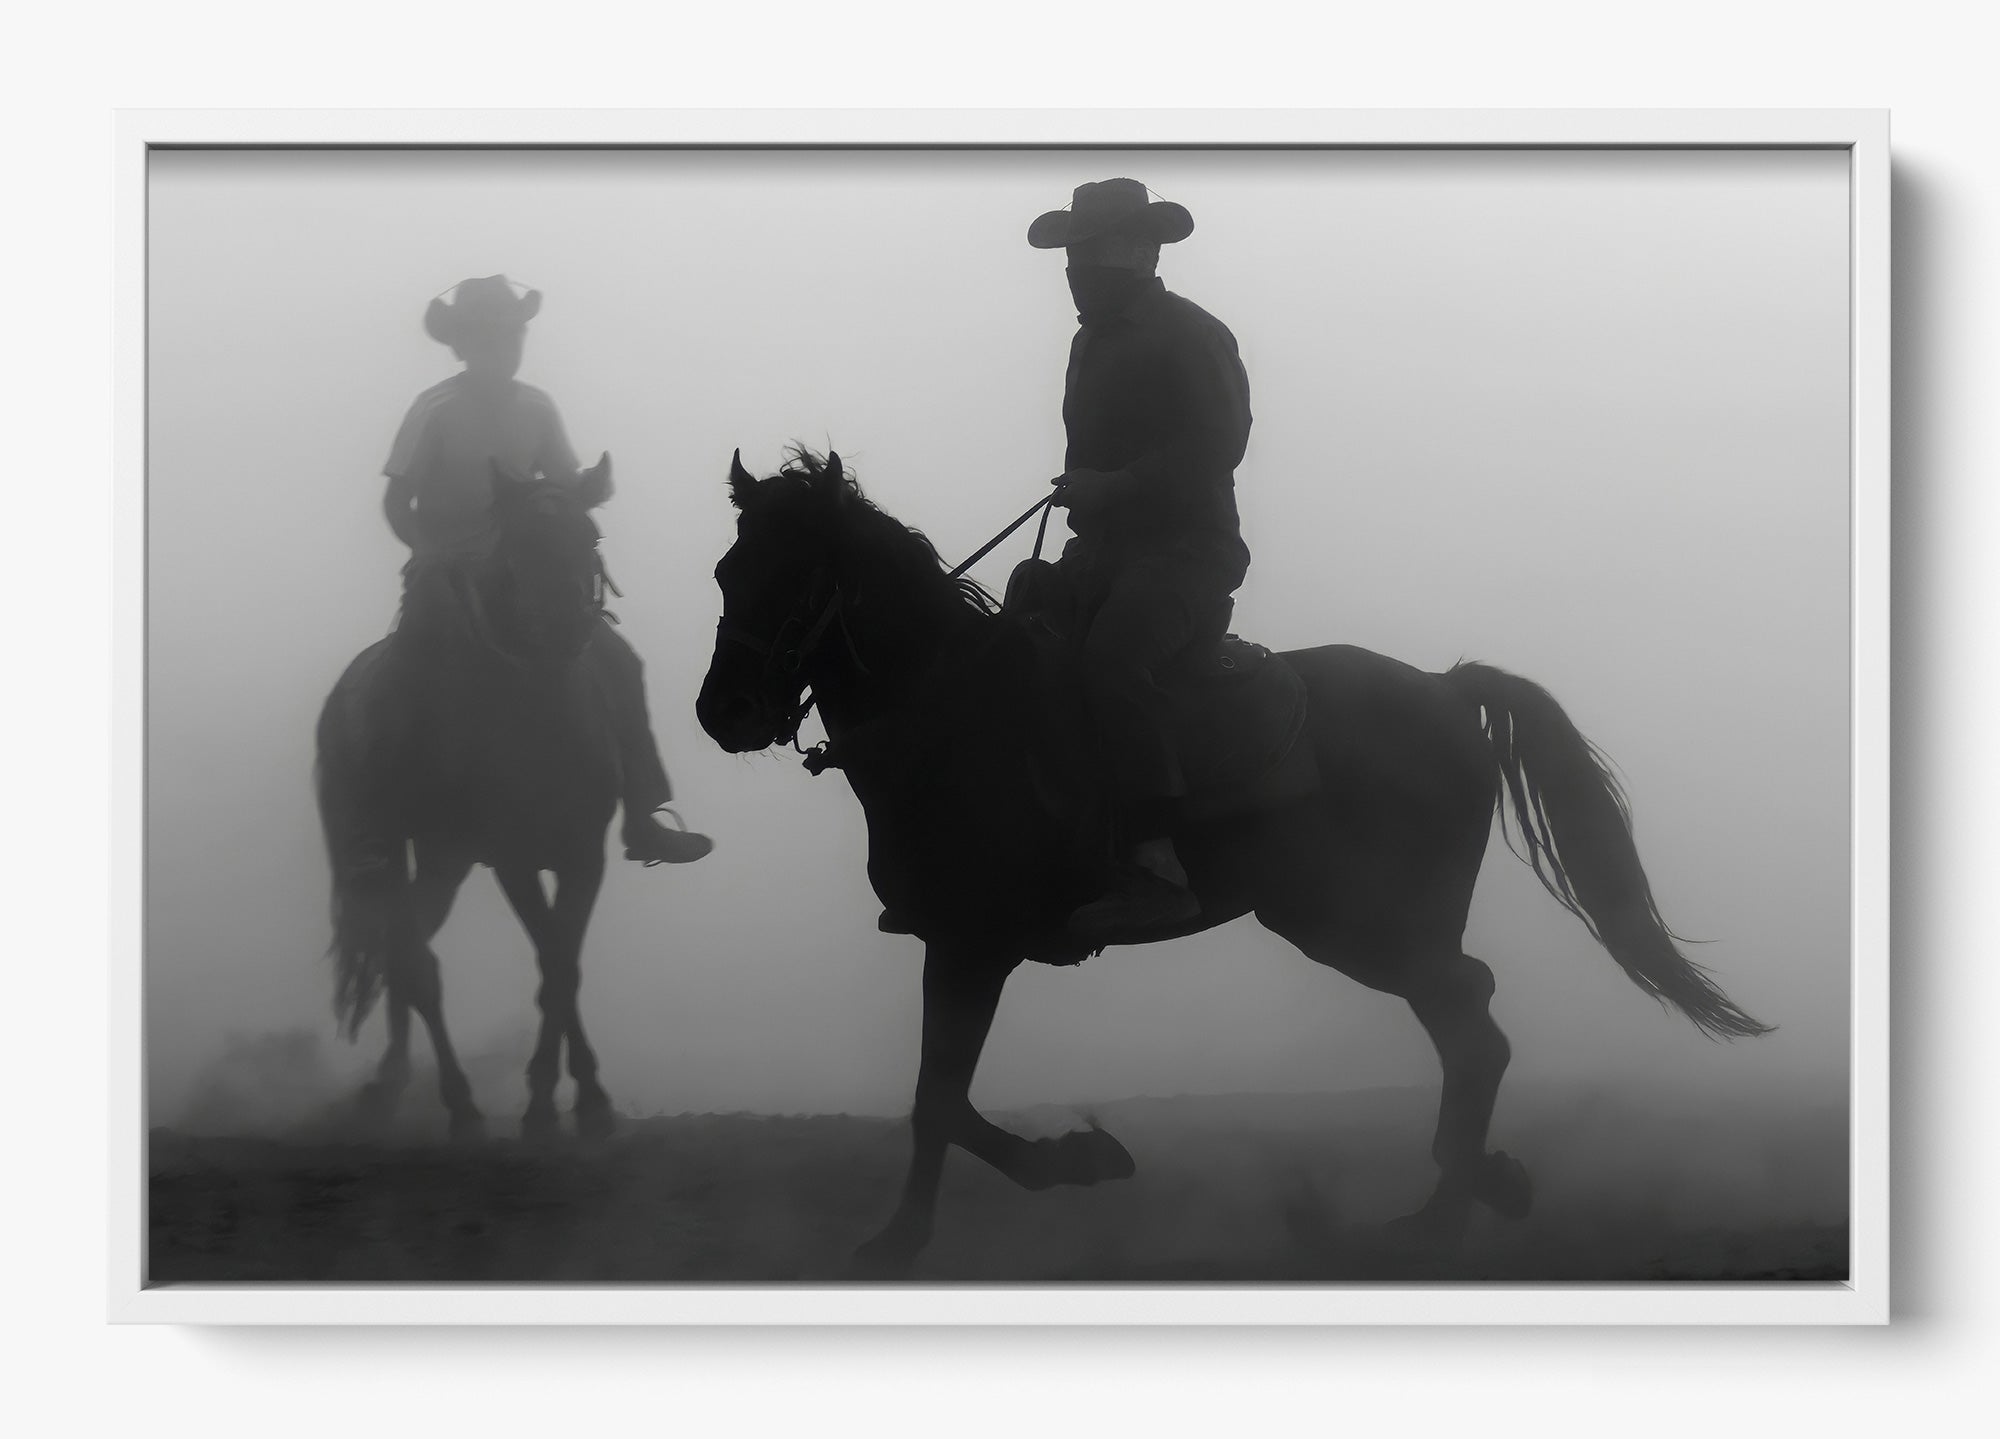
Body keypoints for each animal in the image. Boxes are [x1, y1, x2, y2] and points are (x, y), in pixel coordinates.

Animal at [315, 456, 627, 1140]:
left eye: (590, 537)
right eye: (520, 543)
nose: (565, 625)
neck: (539, 719)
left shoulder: (584, 856)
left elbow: (563, 966)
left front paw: (586, 1098)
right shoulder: (513, 860)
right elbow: (553, 962)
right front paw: (545, 1104)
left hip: (442, 860)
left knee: (405, 951)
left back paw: (393, 1085)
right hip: (387, 851)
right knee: (413, 963)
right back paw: (454, 1105)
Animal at [695, 446, 1771, 1276]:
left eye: (798, 576)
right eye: (725, 571)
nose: (723, 713)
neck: (951, 720)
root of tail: (1443, 687)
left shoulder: (973, 945)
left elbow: (939, 1100)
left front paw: (1047, 1173)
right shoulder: (951, 944)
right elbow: (937, 1099)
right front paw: (947, 1216)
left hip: (1355, 923)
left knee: (1471, 1023)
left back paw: (1436, 1218)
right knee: (1468, 1023)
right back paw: (1471, 1189)